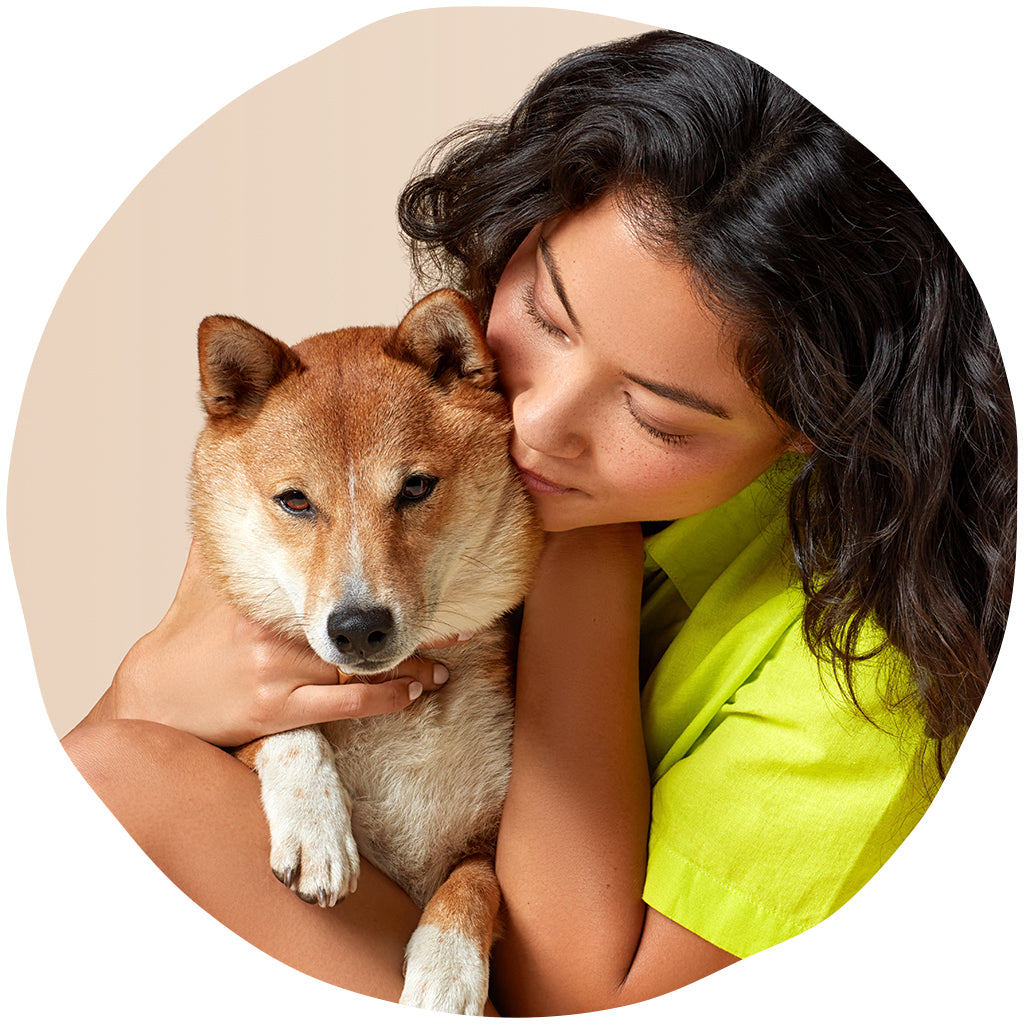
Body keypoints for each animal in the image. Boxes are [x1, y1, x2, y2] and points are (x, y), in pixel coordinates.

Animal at [191, 286, 544, 1007]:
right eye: (295, 501)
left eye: (415, 487)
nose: (357, 626)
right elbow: (287, 730)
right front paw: (316, 830)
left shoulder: (491, 837)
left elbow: (472, 884)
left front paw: (446, 968)